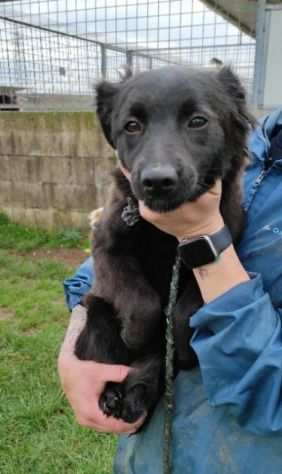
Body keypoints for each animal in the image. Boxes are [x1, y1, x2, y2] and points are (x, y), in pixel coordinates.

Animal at [75, 65, 253, 424]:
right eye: (132, 125)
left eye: (198, 121)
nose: (157, 182)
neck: (166, 233)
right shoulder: (107, 247)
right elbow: (143, 302)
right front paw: (135, 335)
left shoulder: (220, 243)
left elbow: (184, 307)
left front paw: (183, 348)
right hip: (96, 312)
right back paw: (114, 395)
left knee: (151, 367)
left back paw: (137, 393)